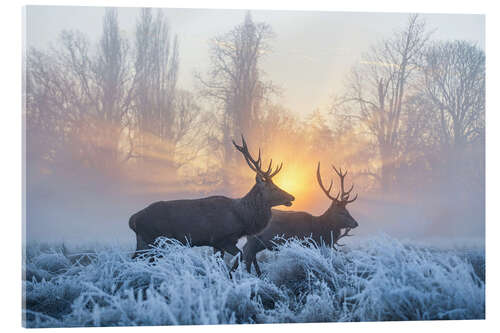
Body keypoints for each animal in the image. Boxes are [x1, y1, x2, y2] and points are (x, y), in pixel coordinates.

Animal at [128, 135, 296, 272]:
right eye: (273, 188)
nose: (292, 197)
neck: (242, 218)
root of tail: (133, 220)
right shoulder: (222, 239)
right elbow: (238, 257)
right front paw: (230, 276)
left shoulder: (217, 244)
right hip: (155, 239)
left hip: (144, 240)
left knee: (135, 259)